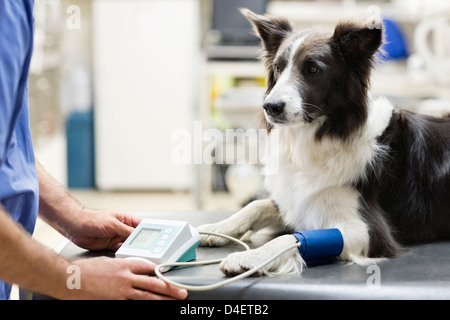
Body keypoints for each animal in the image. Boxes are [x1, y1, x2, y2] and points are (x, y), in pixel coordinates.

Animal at [198, 8, 450, 276]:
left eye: (313, 69)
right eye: (277, 68)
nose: (270, 107)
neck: (322, 137)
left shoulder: (371, 232)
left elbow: (290, 238)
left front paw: (251, 257)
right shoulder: (297, 203)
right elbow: (257, 205)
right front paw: (217, 228)